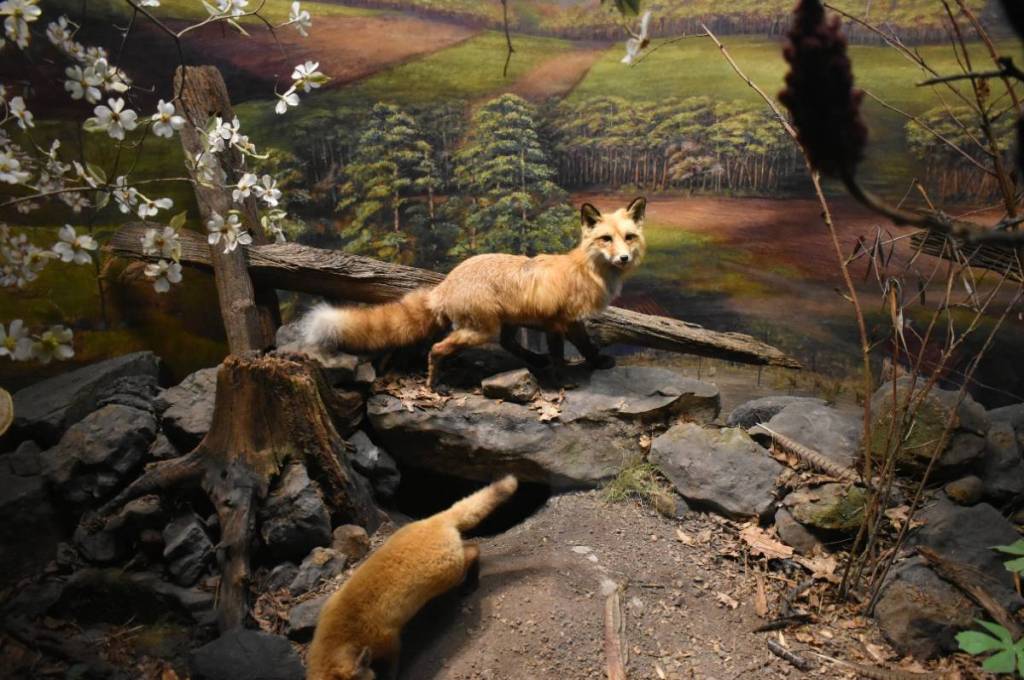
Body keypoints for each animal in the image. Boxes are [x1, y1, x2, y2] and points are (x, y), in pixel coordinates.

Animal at [302, 198, 647, 386]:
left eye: (629, 237)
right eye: (605, 239)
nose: (624, 258)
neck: (586, 270)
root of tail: (445, 284)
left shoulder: (558, 322)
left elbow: (572, 350)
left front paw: (569, 368)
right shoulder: (561, 321)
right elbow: (574, 351)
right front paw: (571, 375)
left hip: (504, 324)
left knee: (508, 344)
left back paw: (533, 361)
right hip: (480, 331)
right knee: (438, 348)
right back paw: (432, 382)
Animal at [305, 475, 519, 680]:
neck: (342, 633)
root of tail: (434, 520)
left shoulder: (388, 639)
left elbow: (392, 665)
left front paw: (390, 676)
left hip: (450, 572)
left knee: (474, 550)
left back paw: (471, 584)